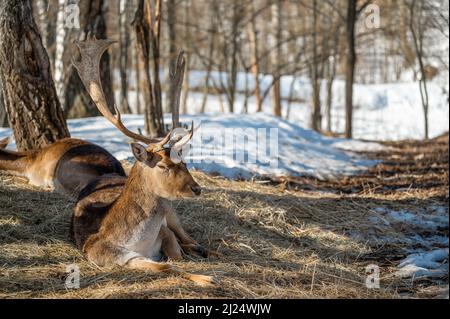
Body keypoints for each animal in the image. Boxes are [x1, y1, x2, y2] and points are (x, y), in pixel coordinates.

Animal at [71, 37, 216, 288]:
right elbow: (166, 266)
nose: (196, 188)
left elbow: (175, 254)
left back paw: (201, 248)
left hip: (171, 211)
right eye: (163, 165)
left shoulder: (165, 231)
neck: (138, 242)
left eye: (185, 162)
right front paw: (206, 278)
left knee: (188, 237)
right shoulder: (109, 254)